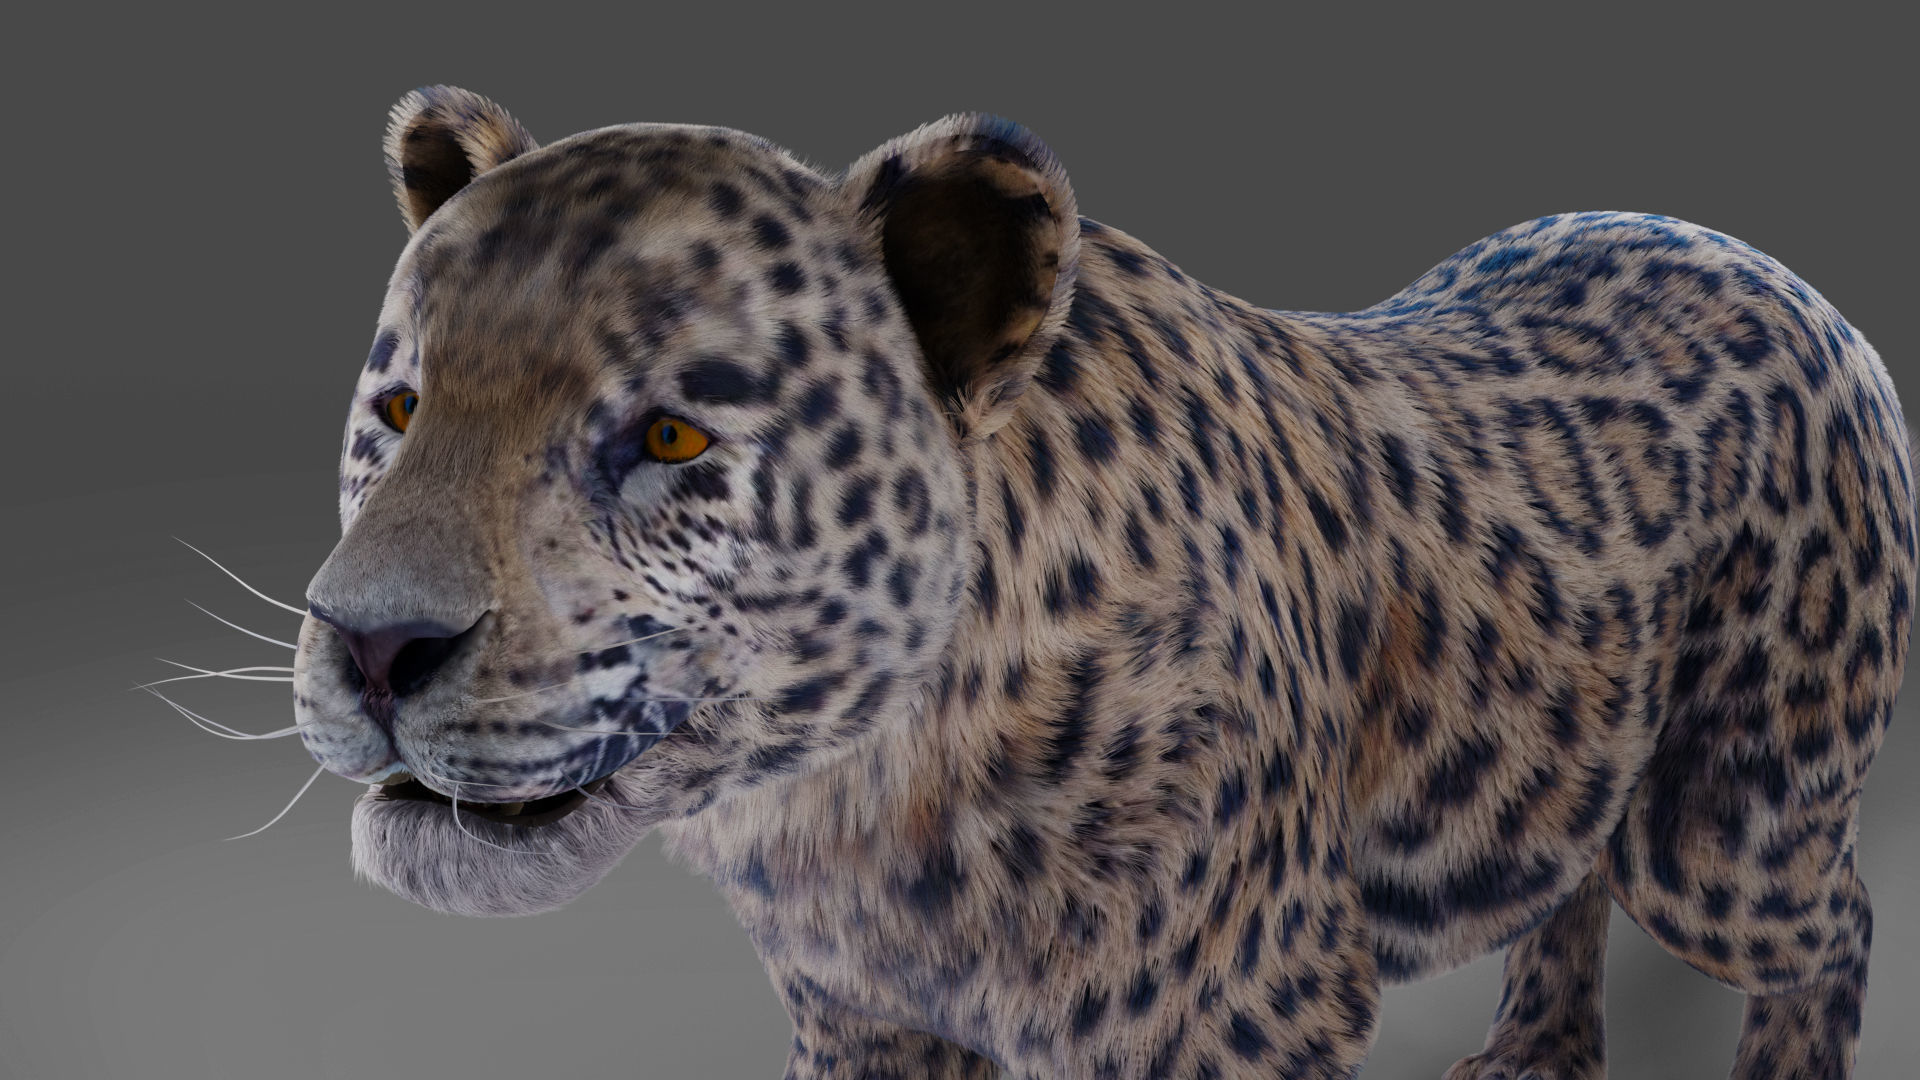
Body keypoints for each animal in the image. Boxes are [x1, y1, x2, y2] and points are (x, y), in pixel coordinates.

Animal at [288, 84, 1915, 1079]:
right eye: (401, 412)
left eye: (670, 436)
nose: (371, 647)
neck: (864, 807)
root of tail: (1771, 267)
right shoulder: (862, 1020)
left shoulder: (1236, 1015)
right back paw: (1530, 1056)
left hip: (1725, 828)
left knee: (1834, 921)